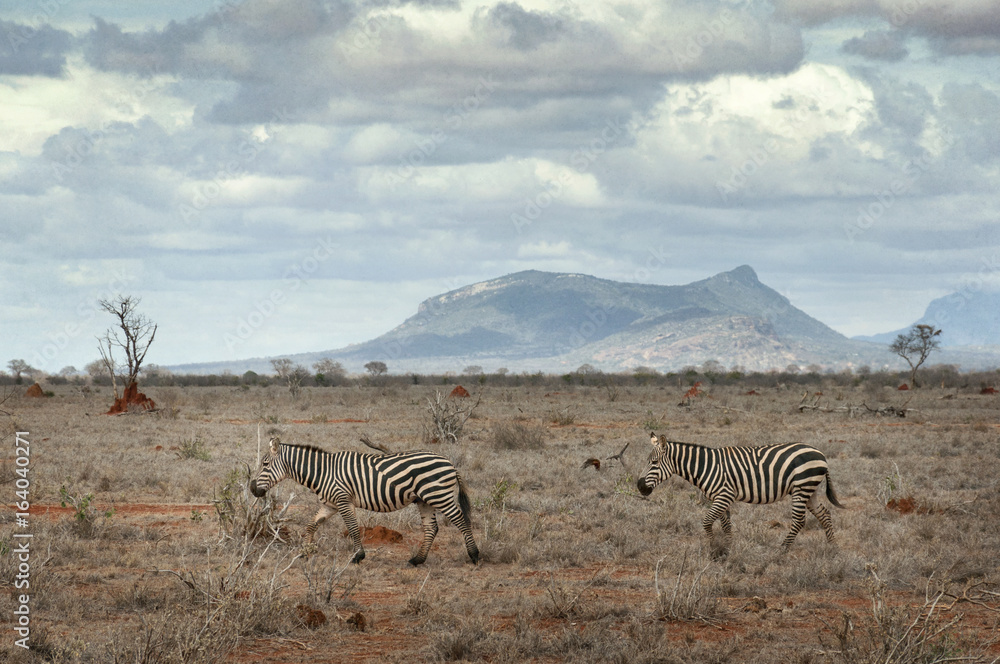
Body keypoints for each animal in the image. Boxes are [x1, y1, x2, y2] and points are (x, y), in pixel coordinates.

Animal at [250, 437, 479, 566]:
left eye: (265, 464)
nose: (252, 489)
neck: (322, 472)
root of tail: (449, 462)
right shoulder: (329, 504)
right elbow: (311, 525)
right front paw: (305, 553)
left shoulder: (343, 500)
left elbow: (352, 528)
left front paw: (358, 556)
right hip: (424, 500)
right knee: (431, 528)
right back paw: (417, 560)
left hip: (439, 495)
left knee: (461, 520)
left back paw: (474, 555)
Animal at [637, 433, 845, 552]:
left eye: (653, 463)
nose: (639, 486)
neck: (706, 466)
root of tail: (820, 453)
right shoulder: (722, 498)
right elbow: (726, 525)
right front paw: (728, 549)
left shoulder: (723, 495)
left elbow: (706, 522)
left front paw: (714, 549)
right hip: (809, 489)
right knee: (824, 514)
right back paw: (832, 547)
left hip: (802, 487)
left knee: (799, 520)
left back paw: (782, 549)